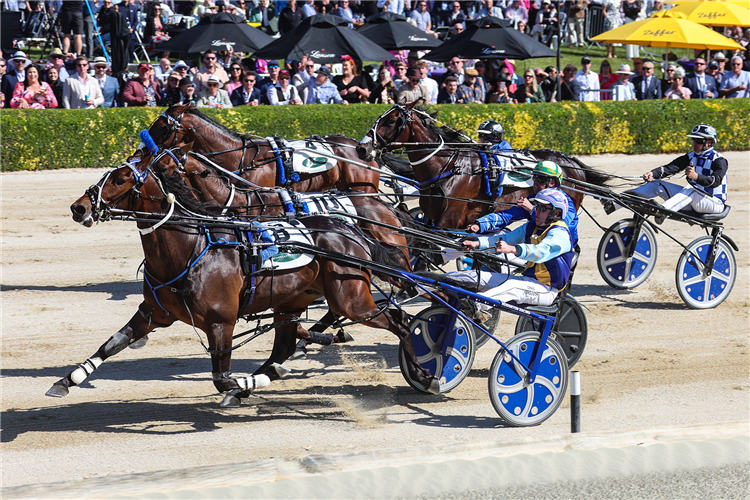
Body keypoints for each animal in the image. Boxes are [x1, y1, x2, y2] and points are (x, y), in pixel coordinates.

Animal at [50, 148, 440, 406]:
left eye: (121, 178)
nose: (79, 207)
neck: (192, 248)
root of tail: (352, 231)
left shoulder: (220, 321)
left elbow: (221, 378)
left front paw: (243, 385)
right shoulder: (154, 313)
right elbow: (112, 343)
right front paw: (67, 380)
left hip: (352, 297)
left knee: (402, 322)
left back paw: (426, 374)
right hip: (293, 300)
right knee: (285, 345)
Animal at [356, 102, 612, 230]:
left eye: (391, 120)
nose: (362, 148)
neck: (449, 167)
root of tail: (569, 161)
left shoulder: (448, 221)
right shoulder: (432, 218)